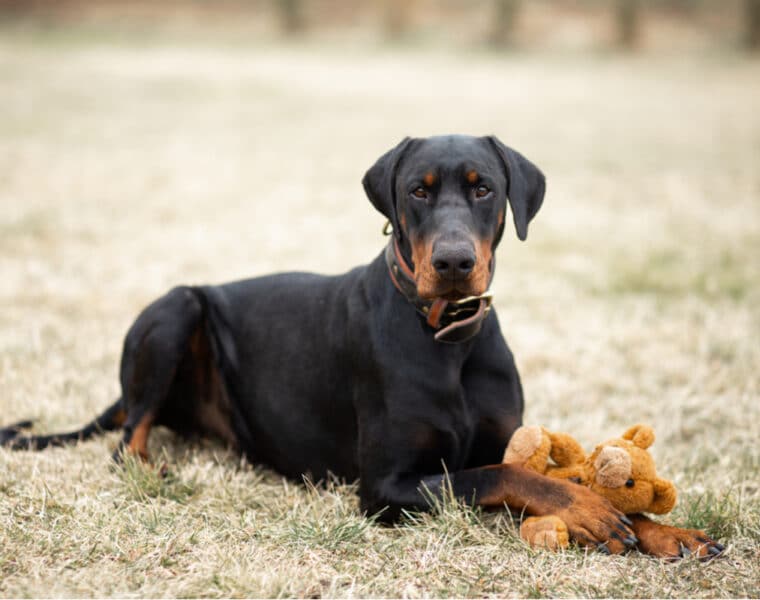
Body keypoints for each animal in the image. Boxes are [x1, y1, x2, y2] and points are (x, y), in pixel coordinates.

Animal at [1, 135, 724, 556]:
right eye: (418, 191)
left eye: (484, 187)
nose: (455, 262)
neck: (447, 337)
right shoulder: (387, 485)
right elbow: (506, 475)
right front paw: (587, 507)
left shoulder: (498, 435)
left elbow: (532, 467)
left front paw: (666, 530)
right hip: (177, 307)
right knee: (128, 436)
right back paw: (151, 466)